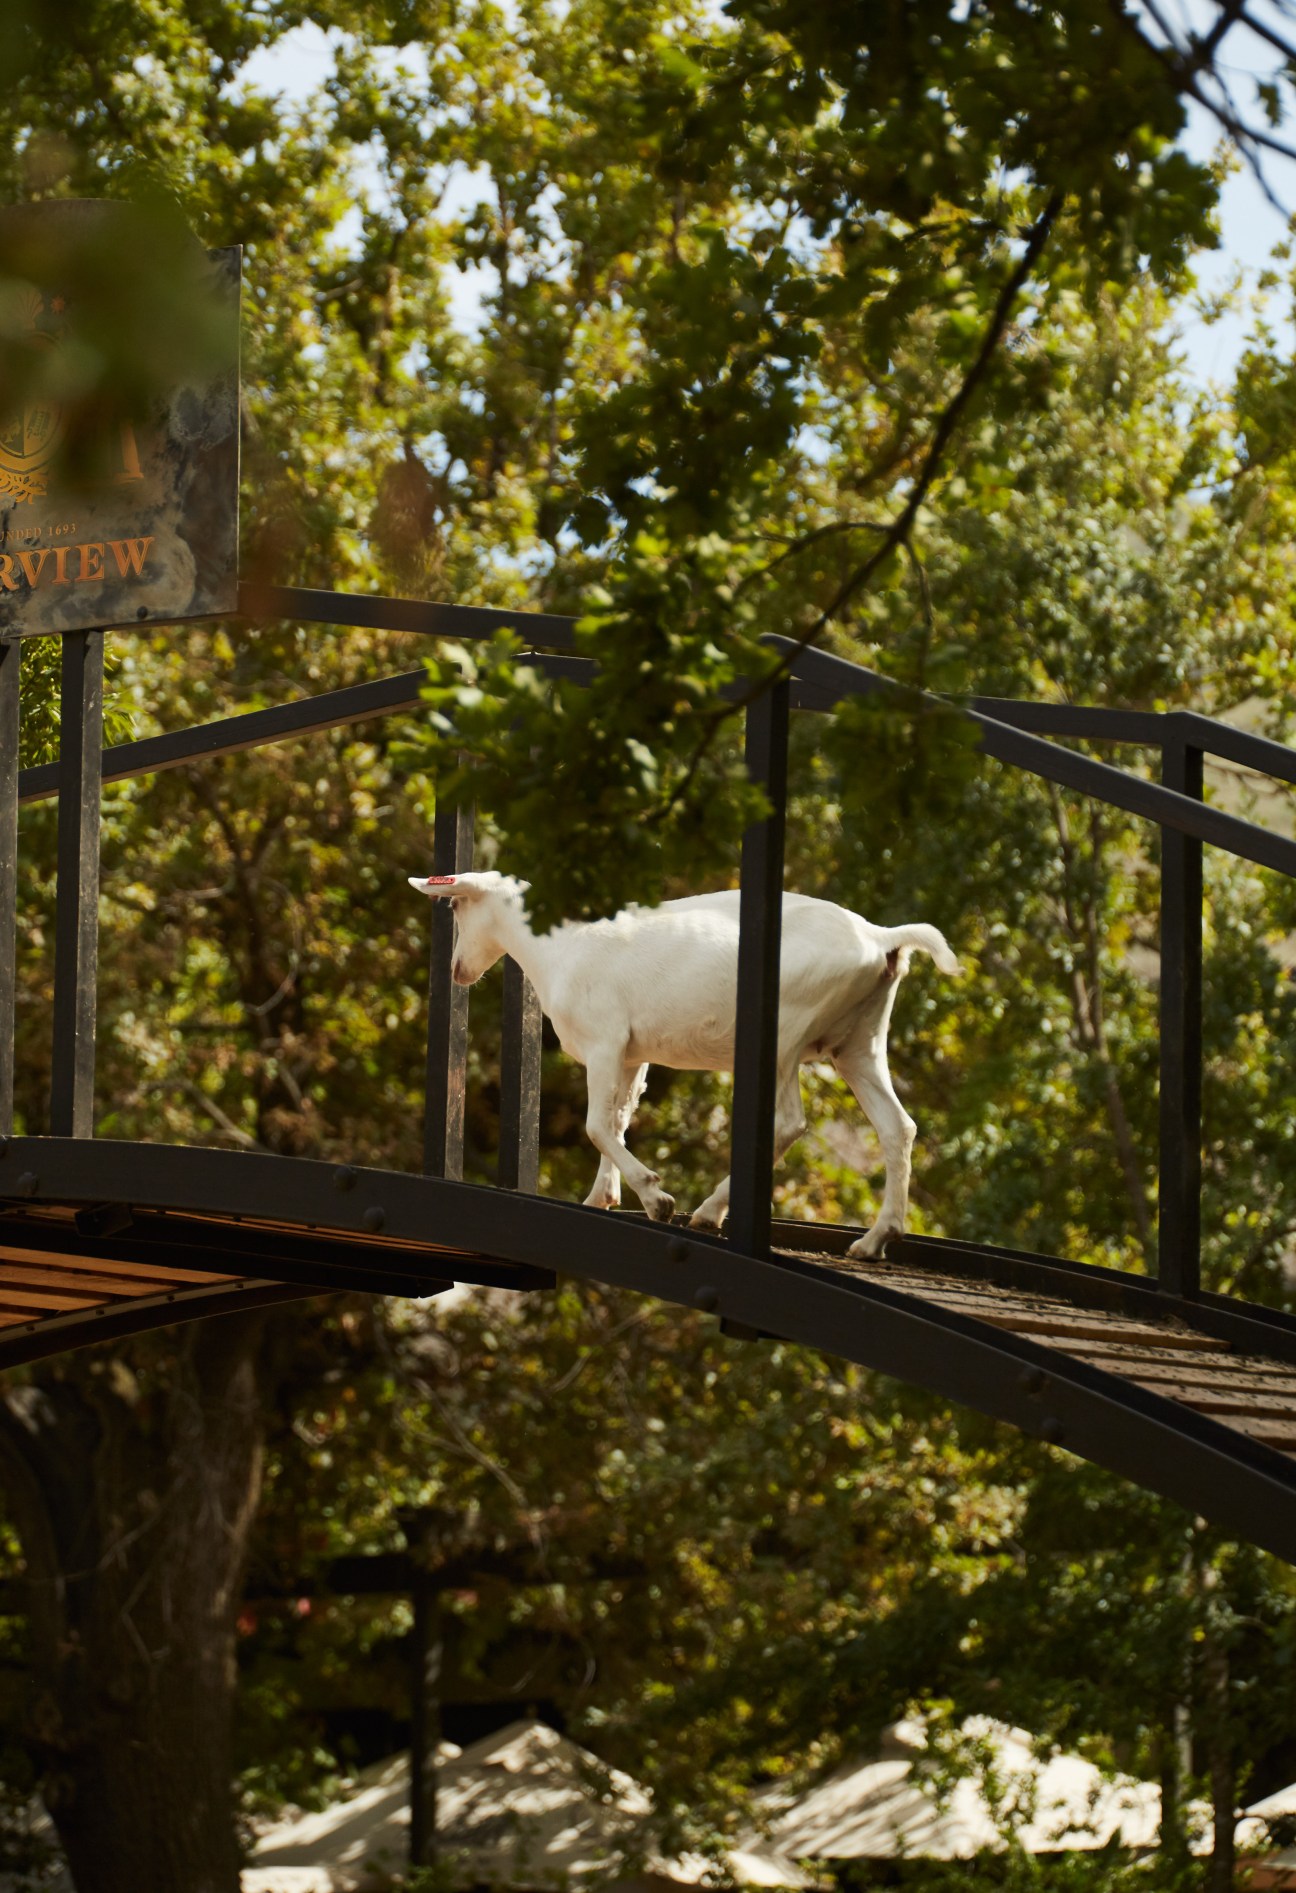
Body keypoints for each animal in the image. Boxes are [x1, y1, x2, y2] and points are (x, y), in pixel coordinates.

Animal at [408, 871, 960, 1258]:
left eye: (454, 902)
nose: (457, 971)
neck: (557, 945)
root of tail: (880, 938)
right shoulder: (632, 1054)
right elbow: (617, 1118)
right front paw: (601, 1200)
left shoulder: (605, 1040)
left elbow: (595, 1125)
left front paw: (658, 1200)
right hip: (860, 1040)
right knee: (898, 1127)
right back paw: (874, 1241)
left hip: (787, 1027)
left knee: (789, 1122)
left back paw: (707, 1213)